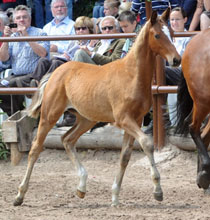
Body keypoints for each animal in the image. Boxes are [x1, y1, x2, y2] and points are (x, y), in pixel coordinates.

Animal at [13, 8, 180, 207]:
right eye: (157, 35)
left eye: (172, 33)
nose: (176, 60)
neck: (132, 75)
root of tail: (55, 72)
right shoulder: (123, 119)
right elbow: (147, 143)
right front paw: (158, 191)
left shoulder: (137, 120)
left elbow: (125, 156)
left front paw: (115, 197)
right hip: (49, 116)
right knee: (35, 148)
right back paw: (20, 195)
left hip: (86, 119)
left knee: (67, 140)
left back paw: (81, 188)